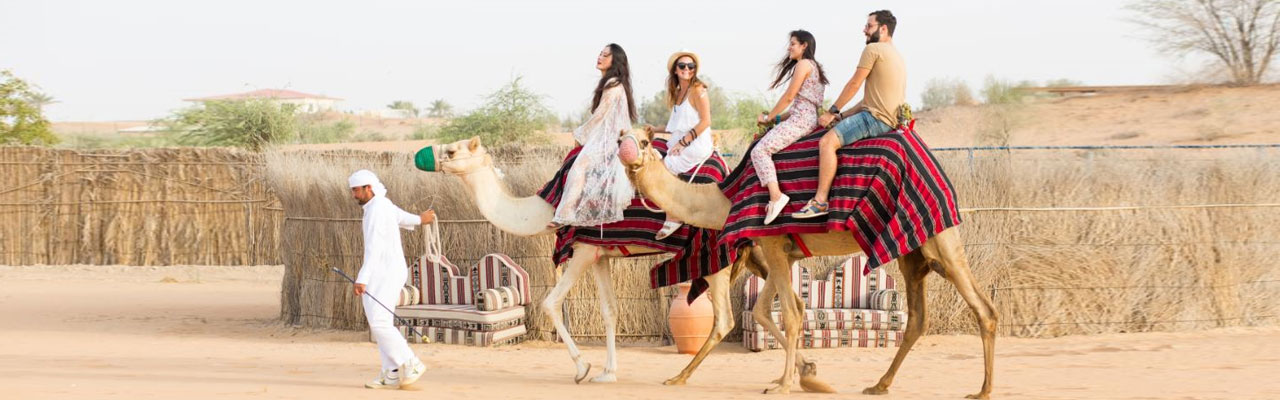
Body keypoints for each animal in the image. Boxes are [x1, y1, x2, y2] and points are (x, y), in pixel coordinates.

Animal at [619, 127, 998, 397]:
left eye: (644, 140)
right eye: (622, 136)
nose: (626, 151)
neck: (725, 199)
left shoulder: (772, 243)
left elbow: (791, 312)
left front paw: (785, 384)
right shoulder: (779, 250)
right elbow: (768, 311)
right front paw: (801, 375)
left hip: (940, 239)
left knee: (984, 308)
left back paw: (982, 391)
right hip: (912, 252)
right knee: (918, 317)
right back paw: (879, 384)